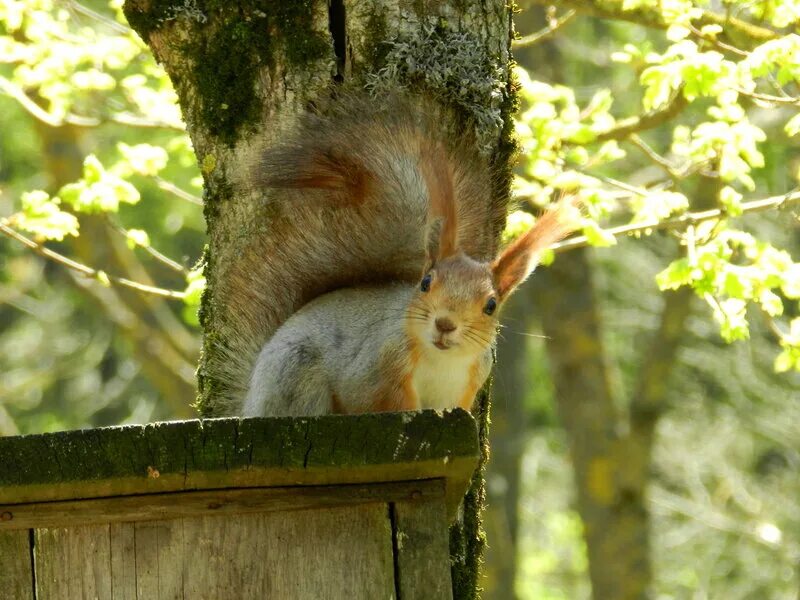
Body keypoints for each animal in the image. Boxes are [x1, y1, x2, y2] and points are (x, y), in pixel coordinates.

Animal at [203, 94, 576, 418]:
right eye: (425, 283)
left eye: (491, 305)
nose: (445, 324)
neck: (440, 362)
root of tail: (250, 401)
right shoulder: (374, 372)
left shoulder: (462, 391)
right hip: (293, 375)